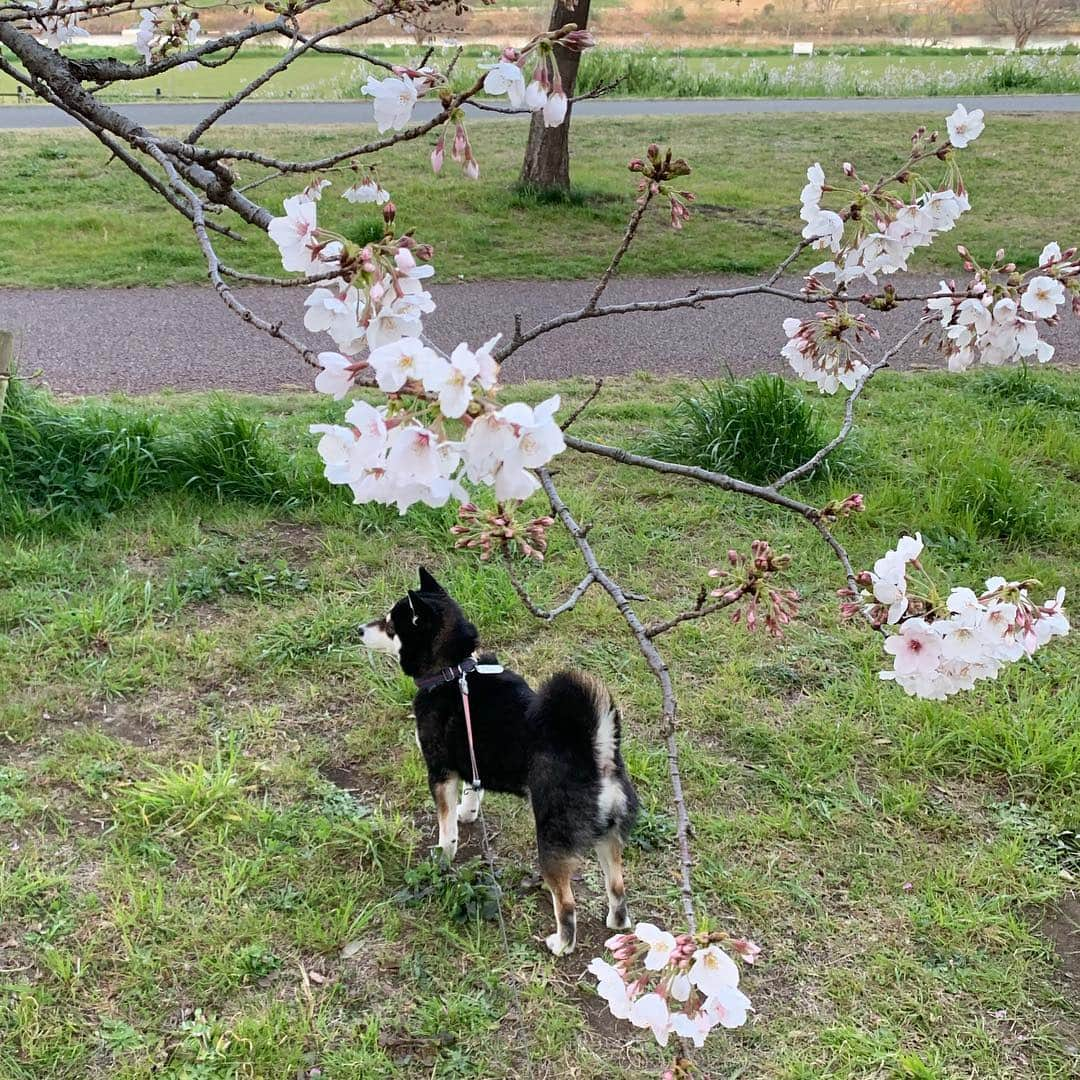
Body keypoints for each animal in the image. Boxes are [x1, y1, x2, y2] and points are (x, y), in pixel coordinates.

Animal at [362, 565, 635, 954]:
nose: (358, 630)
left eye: (390, 624)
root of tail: (598, 755)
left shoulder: (440, 771)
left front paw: (443, 856)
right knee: (617, 887)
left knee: (566, 904)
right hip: (609, 838)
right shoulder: (469, 761)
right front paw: (468, 812)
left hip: (552, 839)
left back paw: (561, 943)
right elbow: (472, 791)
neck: (454, 670)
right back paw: (616, 922)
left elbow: (447, 829)